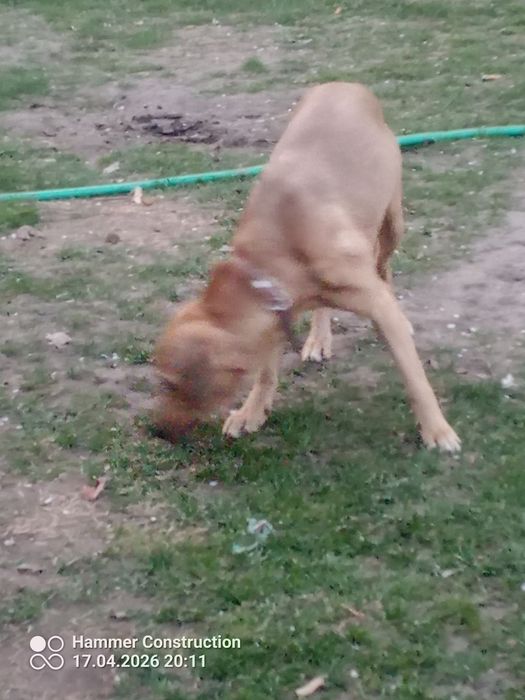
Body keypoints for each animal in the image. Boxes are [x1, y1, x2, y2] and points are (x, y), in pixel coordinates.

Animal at [153, 82, 460, 452]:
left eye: (169, 384)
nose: (154, 431)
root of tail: (346, 84)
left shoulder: (374, 304)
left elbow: (415, 380)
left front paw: (437, 429)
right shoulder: (276, 313)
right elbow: (266, 372)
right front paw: (251, 411)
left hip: (392, 223)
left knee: (384, 267)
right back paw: (319, 338)